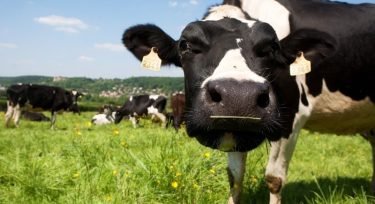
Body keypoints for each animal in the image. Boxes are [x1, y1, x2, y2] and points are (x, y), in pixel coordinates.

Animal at [122, 0, 375, 203]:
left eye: (272, 48)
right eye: (185, 45)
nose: (238, 96)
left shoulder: (291, 118)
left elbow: (274, 179)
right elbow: (234, 177)